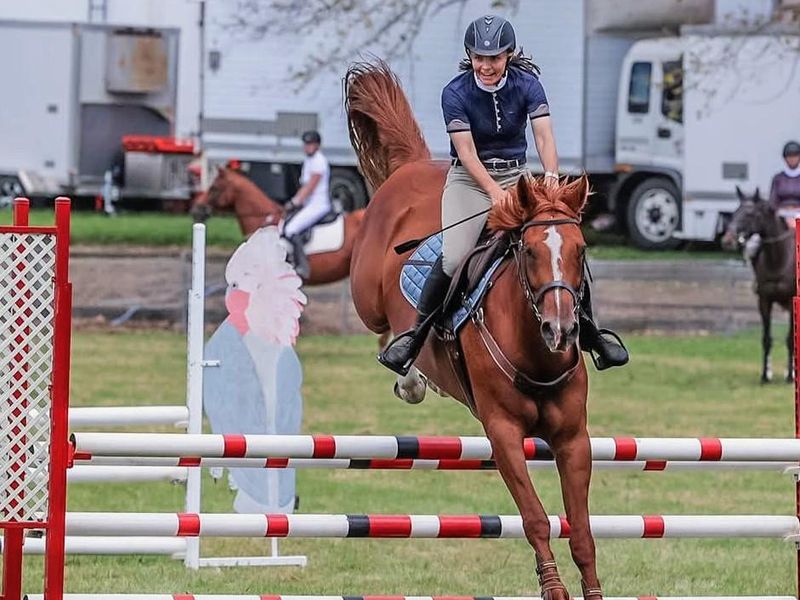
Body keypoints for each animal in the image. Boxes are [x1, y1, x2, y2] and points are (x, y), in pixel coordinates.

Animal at [346, 62, 600, 600]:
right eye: (530, 251)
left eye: (581, 250)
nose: (561, 330)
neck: (534, 349)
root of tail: (410, 168)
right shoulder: (503, 433)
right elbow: (535, 518)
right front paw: (553, 587)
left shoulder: (573, 438)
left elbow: (582, 529)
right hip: (367, 298)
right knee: (385, 330)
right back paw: (409, 371)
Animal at [722, 186, 796, 383]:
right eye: (735, 212)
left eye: (750, 214)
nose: (727, 240)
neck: (779, 260)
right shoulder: (764, 301)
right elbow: (766, 339)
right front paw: (765, 375)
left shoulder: (792, 300)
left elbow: (790, 339)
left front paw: (789, 376)